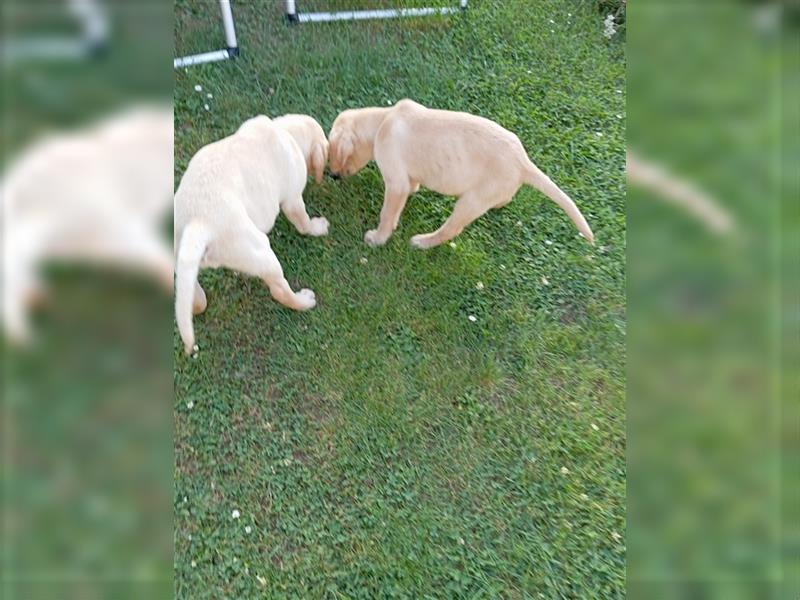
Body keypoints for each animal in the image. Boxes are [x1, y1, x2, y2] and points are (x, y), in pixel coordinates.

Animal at [174, 115, 328, 354]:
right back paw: (303, 301)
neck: (286, 131)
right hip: (261, 251)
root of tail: (198, 221)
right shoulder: (293, 198)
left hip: (181, 257)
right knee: (279, 290)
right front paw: (317, 227)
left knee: (195, 298)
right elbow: (303, 222)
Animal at [324, 99, 592, 250]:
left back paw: (422, 242)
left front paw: (378, 238)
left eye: (333, 152)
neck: (383, 121)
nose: (332, 175)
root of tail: (523, 161)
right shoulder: (406, 179)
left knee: (451, 230)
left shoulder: (395, 182)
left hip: (469, 202)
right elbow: (407, 192)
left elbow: (387, 214)